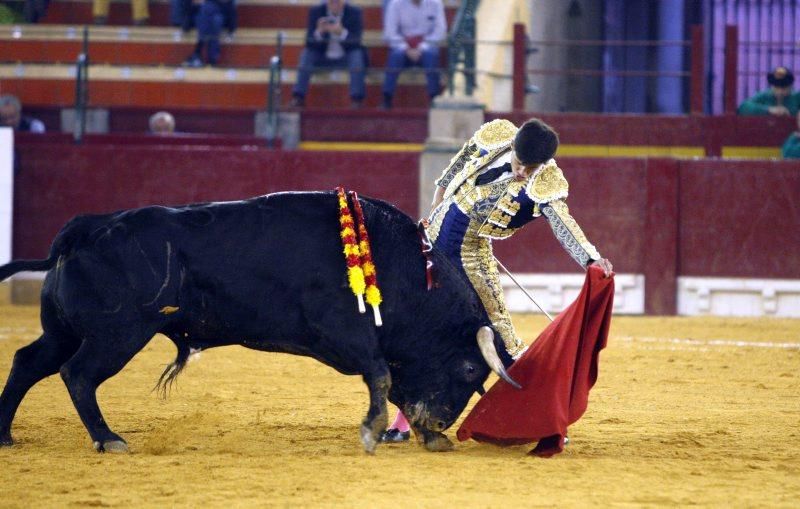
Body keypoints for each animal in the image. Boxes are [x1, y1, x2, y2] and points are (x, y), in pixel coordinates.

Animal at [0, 190, 516, 452]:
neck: (402, 267)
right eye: (470, 368)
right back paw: (108, 439)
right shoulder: (344, 331)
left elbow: (392, 382)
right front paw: (372, 432)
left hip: (66, 332)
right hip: (116, 334)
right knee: (77, 374)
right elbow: (382, 375)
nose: (441, 423)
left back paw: (5, 435)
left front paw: (424, 434)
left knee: (28, 362)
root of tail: (86, 228)